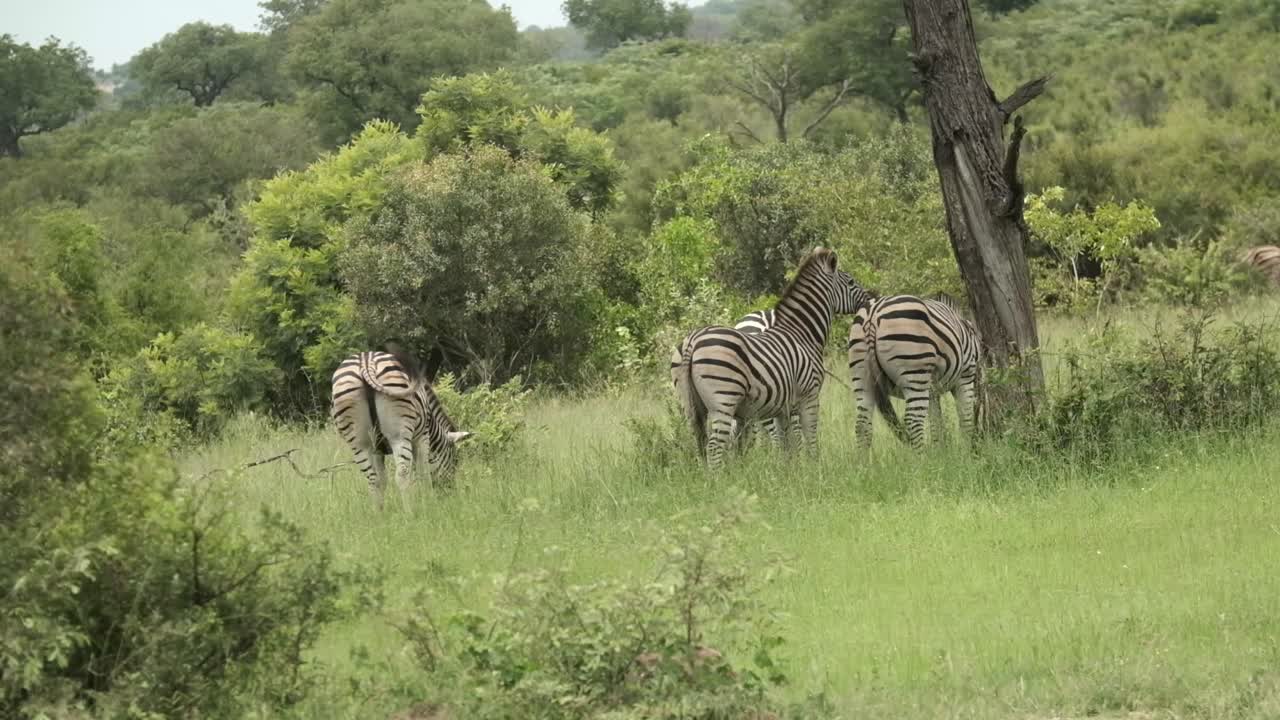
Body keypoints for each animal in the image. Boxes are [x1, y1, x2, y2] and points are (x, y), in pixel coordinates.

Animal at [331, 343, 472, 510]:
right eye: (455, 461)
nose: (450, 493)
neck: (432, 424)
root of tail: (366, 364)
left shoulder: (377, 450)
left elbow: (382, 480)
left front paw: (383, 509)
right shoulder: (422, 437)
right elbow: (423, 473)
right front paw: (428, 503)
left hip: (358, 441)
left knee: (372, 480)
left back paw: (378, 513)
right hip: (399, 434)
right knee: (402, 475)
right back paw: (409, 512)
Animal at [671, 247, 870, 468]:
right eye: (851, 282)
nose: (872, 296)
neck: (802, 334)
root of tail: (692, 341)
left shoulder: (783, 407)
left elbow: (788, 446)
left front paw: (790, 471)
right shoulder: (809, 395)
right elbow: (810, 439)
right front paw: (814, 468)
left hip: (692, 406)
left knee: (701, 443)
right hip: (723, 400)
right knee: (714, 447)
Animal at [848, 293, 981, 450]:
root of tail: (872, 316)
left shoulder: (933, 390)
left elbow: (936, 423)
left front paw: (941, 451)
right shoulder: (965, 376)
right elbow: (965, 418)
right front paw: (965, 451)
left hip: (862, 375)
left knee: (862, 425)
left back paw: (862, 457)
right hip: (915, 374)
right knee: (913, 421)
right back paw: (922, 456)